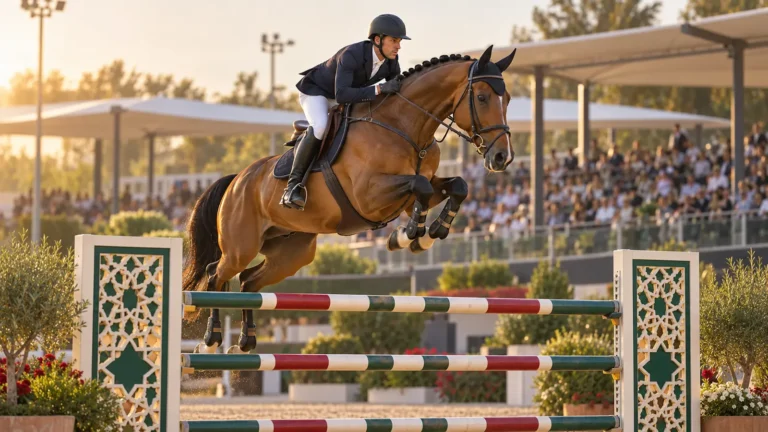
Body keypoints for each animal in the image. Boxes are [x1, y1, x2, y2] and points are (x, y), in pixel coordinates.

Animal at [182, 45, 517, 354]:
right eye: (482, 97)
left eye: (509, 99)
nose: (503, 157)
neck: (405, 127)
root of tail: (236, 180)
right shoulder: (370, 195)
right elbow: (420, 186)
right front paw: (412, 233)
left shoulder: (410, 192)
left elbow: (456, 185)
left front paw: (429, 233)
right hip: (242, 245)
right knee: (215, 274)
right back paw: (211, 338)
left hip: (293, 252)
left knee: (249, 281)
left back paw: (247, 339)